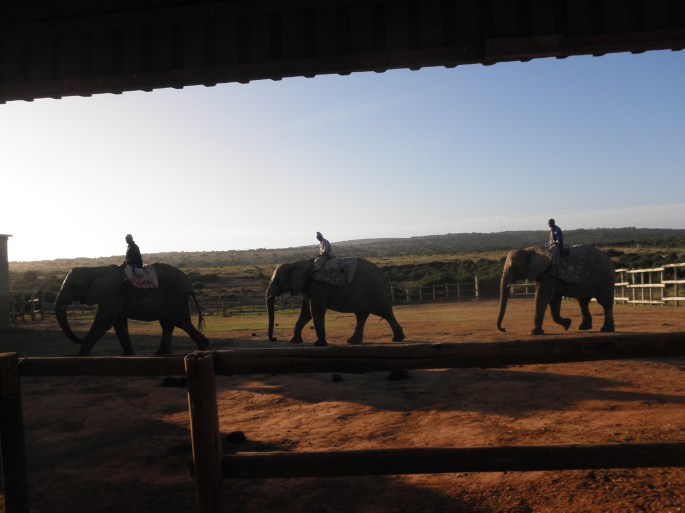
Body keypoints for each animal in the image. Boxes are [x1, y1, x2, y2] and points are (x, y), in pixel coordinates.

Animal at [55, 263, 209, 355]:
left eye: (73, 286)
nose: (80, 339)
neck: (94, 269)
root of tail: (188, 282)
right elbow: (119, 324)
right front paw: (129, 355)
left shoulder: (113, 295)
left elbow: (104, 322)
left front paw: (81, 355)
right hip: (179, 299)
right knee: (182, 322)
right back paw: (203, 345)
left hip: (174, 295)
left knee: (168, 324)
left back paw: (160, 353)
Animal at [265, 258, 405, 346]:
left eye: (277, 280)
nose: (274, 338)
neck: (297, 263)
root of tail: (382, 275)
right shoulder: (307, 287)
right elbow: (306, 313)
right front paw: (294, 341)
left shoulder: (318, 286)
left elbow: (316, 310)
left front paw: (319, 344)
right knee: (361, 315)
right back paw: (353, 341)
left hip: (374, 290)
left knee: (385, 312)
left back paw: (397, 339)